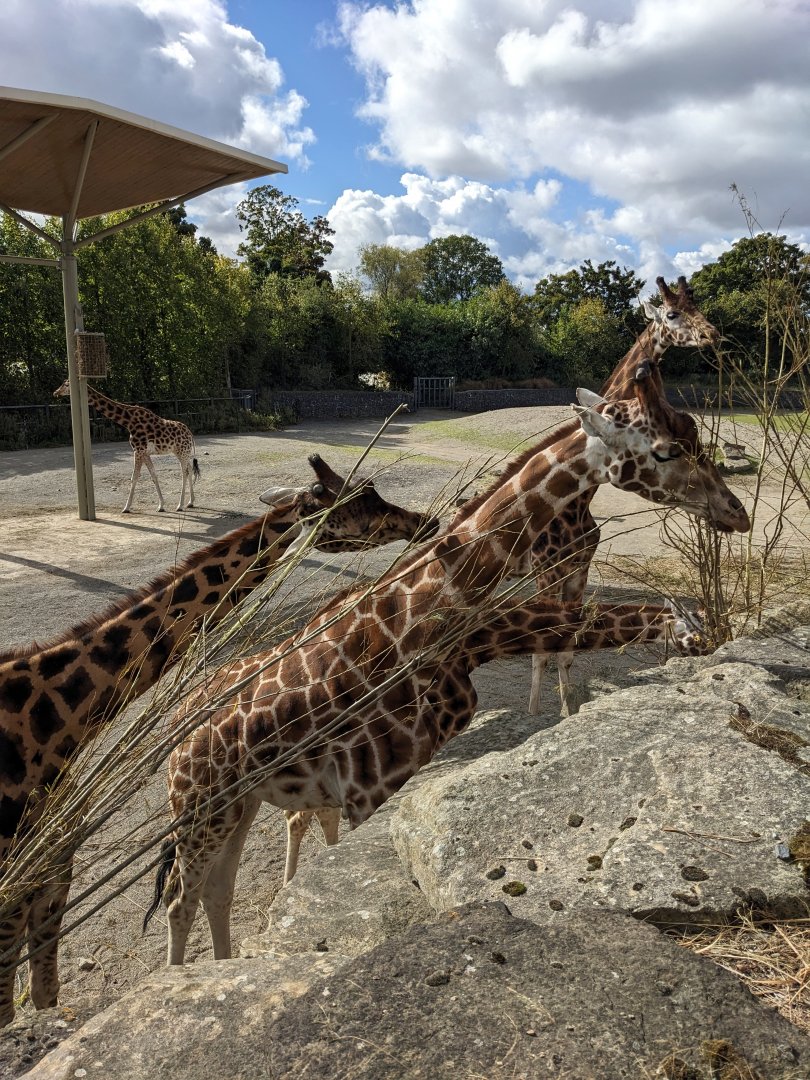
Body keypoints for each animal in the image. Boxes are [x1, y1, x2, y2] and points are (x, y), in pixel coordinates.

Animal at [53, 380, 200, 513]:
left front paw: (126, 507)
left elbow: (134, 477)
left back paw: (180, 505)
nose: (56, 392)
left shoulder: (138, 450)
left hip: (182, 451)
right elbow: (153, 475)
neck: (128, 421)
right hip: (180, 452)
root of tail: (190, 434)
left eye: (66, 384)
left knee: (184, 472)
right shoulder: (144, 452)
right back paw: (190, 502)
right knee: (189, 468)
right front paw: (161, 505)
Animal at [147, 368, 750, 966]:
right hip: (201, 809)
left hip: (237, 805)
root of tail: (173, 741)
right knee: (180, 898)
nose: (736, 513)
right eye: (666, 449)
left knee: (216, 890)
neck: (422, 613)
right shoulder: (366, 784)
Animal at [526, 275, 722, 716]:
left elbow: (566, 651)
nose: (711, 334)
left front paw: (566, 712)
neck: (579, 503)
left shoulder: (579, 568)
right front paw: (534, 714)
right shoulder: (546, 572)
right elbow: (541, 651)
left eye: (699, 307)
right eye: (672, 314)